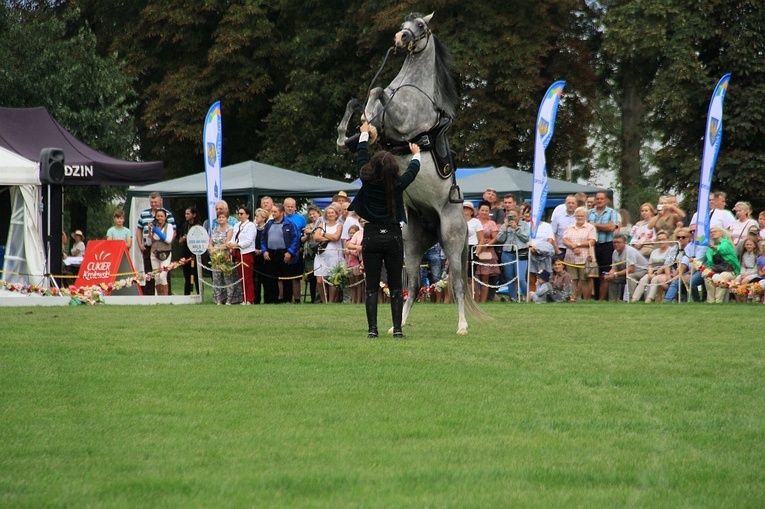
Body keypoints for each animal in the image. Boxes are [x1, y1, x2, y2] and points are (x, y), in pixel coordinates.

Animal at [336, 11, 484, 334]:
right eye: (405, 23)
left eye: (420, 26)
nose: (400, 38)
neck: (412, 87)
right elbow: (363, 100)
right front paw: (351, 132)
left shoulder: (403, 121)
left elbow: (377, 92)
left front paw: (368, 125)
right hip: (412, 245)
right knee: (412, 285)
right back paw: (397, 325)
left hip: (452, 242)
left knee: (457, 285)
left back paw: (462, 327)